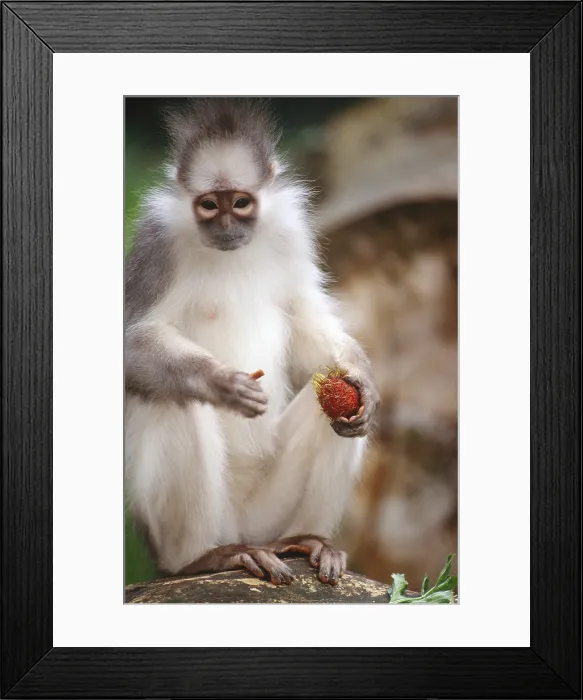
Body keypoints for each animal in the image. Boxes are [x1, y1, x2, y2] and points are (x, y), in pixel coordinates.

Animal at [124, 98, 380, 586]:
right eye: (209, 205)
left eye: (241, 202)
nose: (226, 225)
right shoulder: (155, 243)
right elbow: (132, 342)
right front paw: (220, 382)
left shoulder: (290, 233)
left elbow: (303, 313)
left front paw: (363, 378)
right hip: (199, 525)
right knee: (174, 398)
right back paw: (203, 558)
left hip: (267, 512)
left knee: (331, 401)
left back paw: (309, 541)